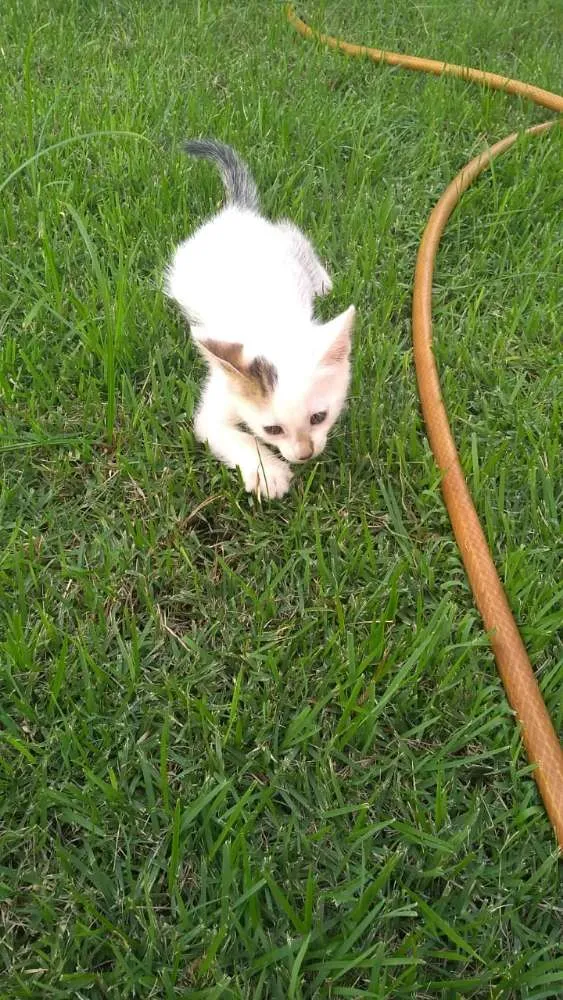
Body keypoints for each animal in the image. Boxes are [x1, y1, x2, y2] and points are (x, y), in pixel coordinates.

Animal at [165, 139, 354, 498]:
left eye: (318, 417)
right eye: (273, 429)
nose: (305, 454)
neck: (272, 326)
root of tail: (236, 214)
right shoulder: (219, 398)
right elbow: (227, 433)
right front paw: (268, 473)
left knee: (292, 231)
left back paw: (323, 281)